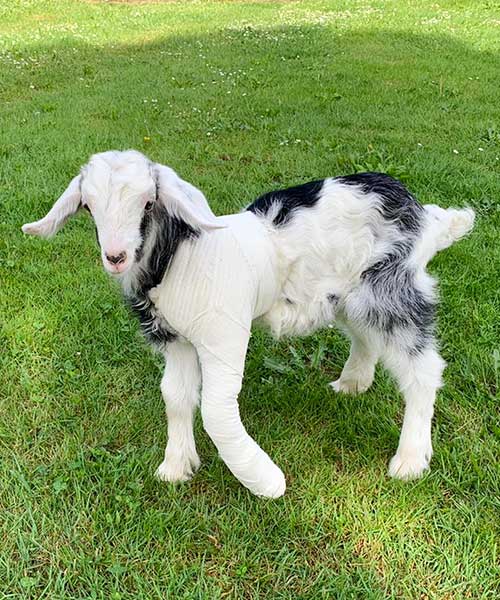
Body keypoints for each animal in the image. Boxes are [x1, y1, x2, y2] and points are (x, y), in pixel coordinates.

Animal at [23, 150, 474, 496]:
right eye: (88, 205)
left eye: (148, 203)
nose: (115, 256)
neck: (178, 257)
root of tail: (424, 214)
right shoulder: (178, 340)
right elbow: (175, 396)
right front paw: (176, 467)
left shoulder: (221, 335)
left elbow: (215, 411)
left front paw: (263, 479)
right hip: (351, 294)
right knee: (367, 340)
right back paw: (351, 383)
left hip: (392, 290)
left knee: (422, 370)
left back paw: (410, 460)